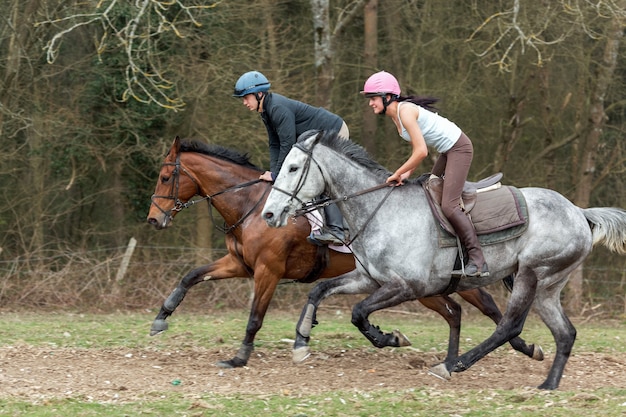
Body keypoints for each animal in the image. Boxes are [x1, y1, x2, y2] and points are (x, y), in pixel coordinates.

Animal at [146, 136, 540, 368]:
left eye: (165, 178)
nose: (153, 219)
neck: (250, 206)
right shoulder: (240, 263)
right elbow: (192, 276)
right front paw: (162, 317)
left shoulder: (268, 270)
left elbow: (256, 315)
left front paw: (240, 356)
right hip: (426, 289)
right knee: (456, 311)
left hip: (440, 282)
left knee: (486, 307)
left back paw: (522, 347)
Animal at [260, 130, 624, 390]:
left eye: (294, 168)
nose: (269, 214)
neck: (380, 210)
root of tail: (579, 212)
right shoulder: (370, 279)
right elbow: (319, 291)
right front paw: (301, 341)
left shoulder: (407, 286)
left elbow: (358, 312)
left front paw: (390, 338)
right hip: (548, 287)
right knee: (565, 333)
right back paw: (548, 384)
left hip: (531, 275)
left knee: (509, 325)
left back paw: (452, 366)